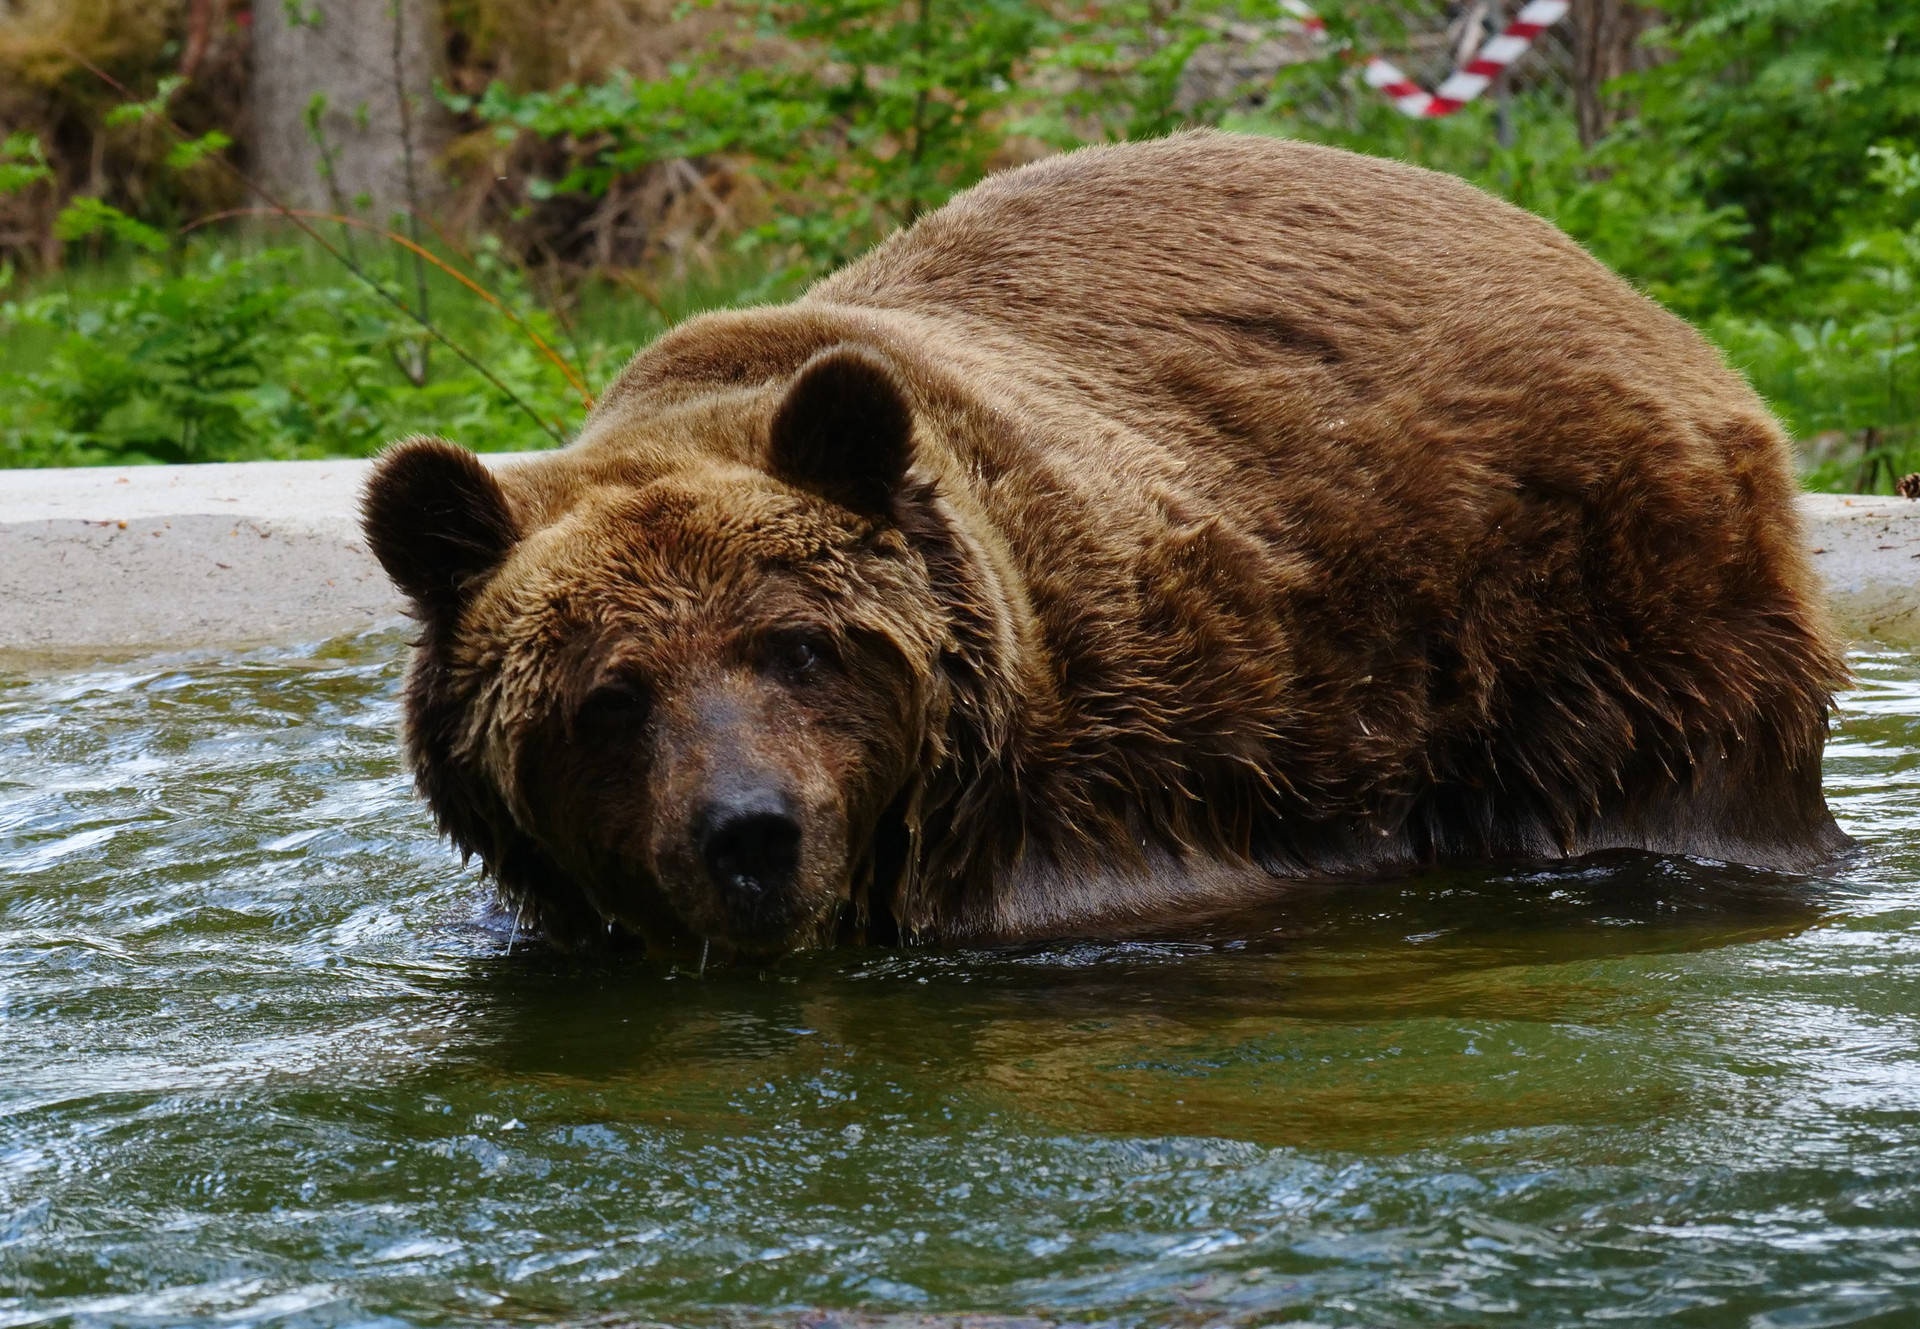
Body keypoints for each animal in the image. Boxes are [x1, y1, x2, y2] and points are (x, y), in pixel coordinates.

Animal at [362, 130, 1850, 959]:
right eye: (609, 697)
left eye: (799, 648)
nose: (749, 833)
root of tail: (1636, 298)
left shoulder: (1121, 782)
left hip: (1599, 605)